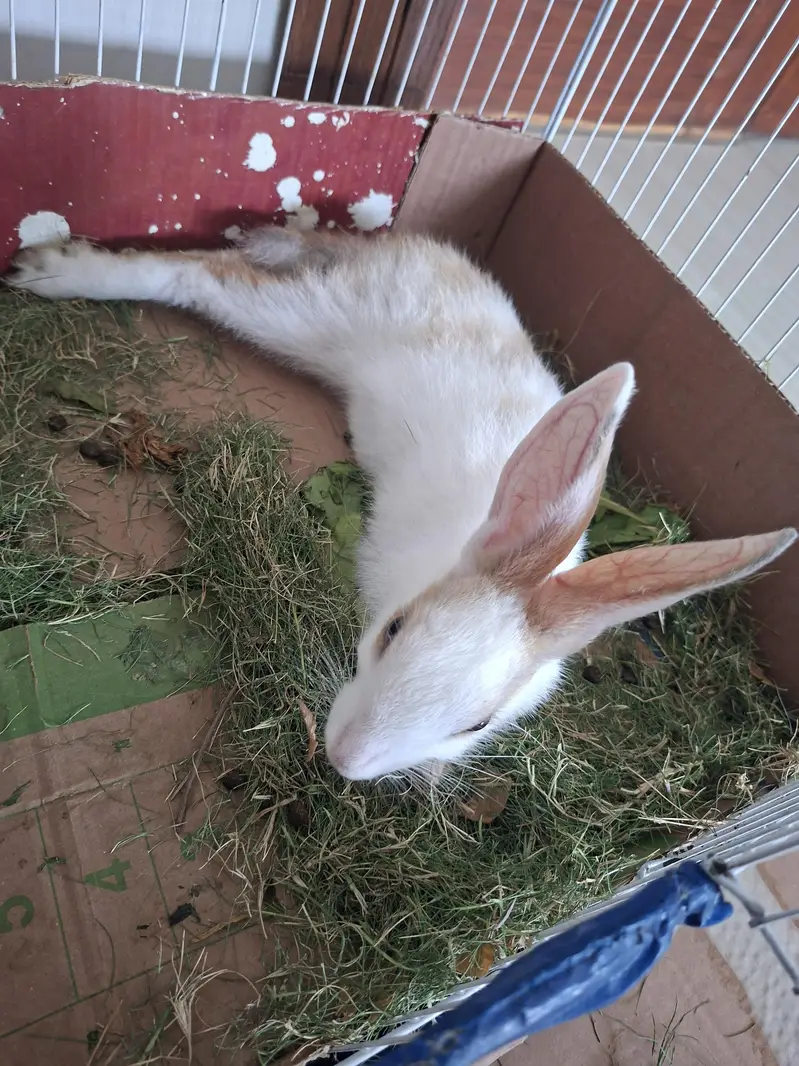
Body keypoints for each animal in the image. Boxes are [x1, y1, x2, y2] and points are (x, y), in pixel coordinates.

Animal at [6, 228, 796, 782]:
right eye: (392, 631)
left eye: (476, 725)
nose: (345, 760)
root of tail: (412, 250)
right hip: (308, 319)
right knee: (196, 273)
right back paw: (51, 270)